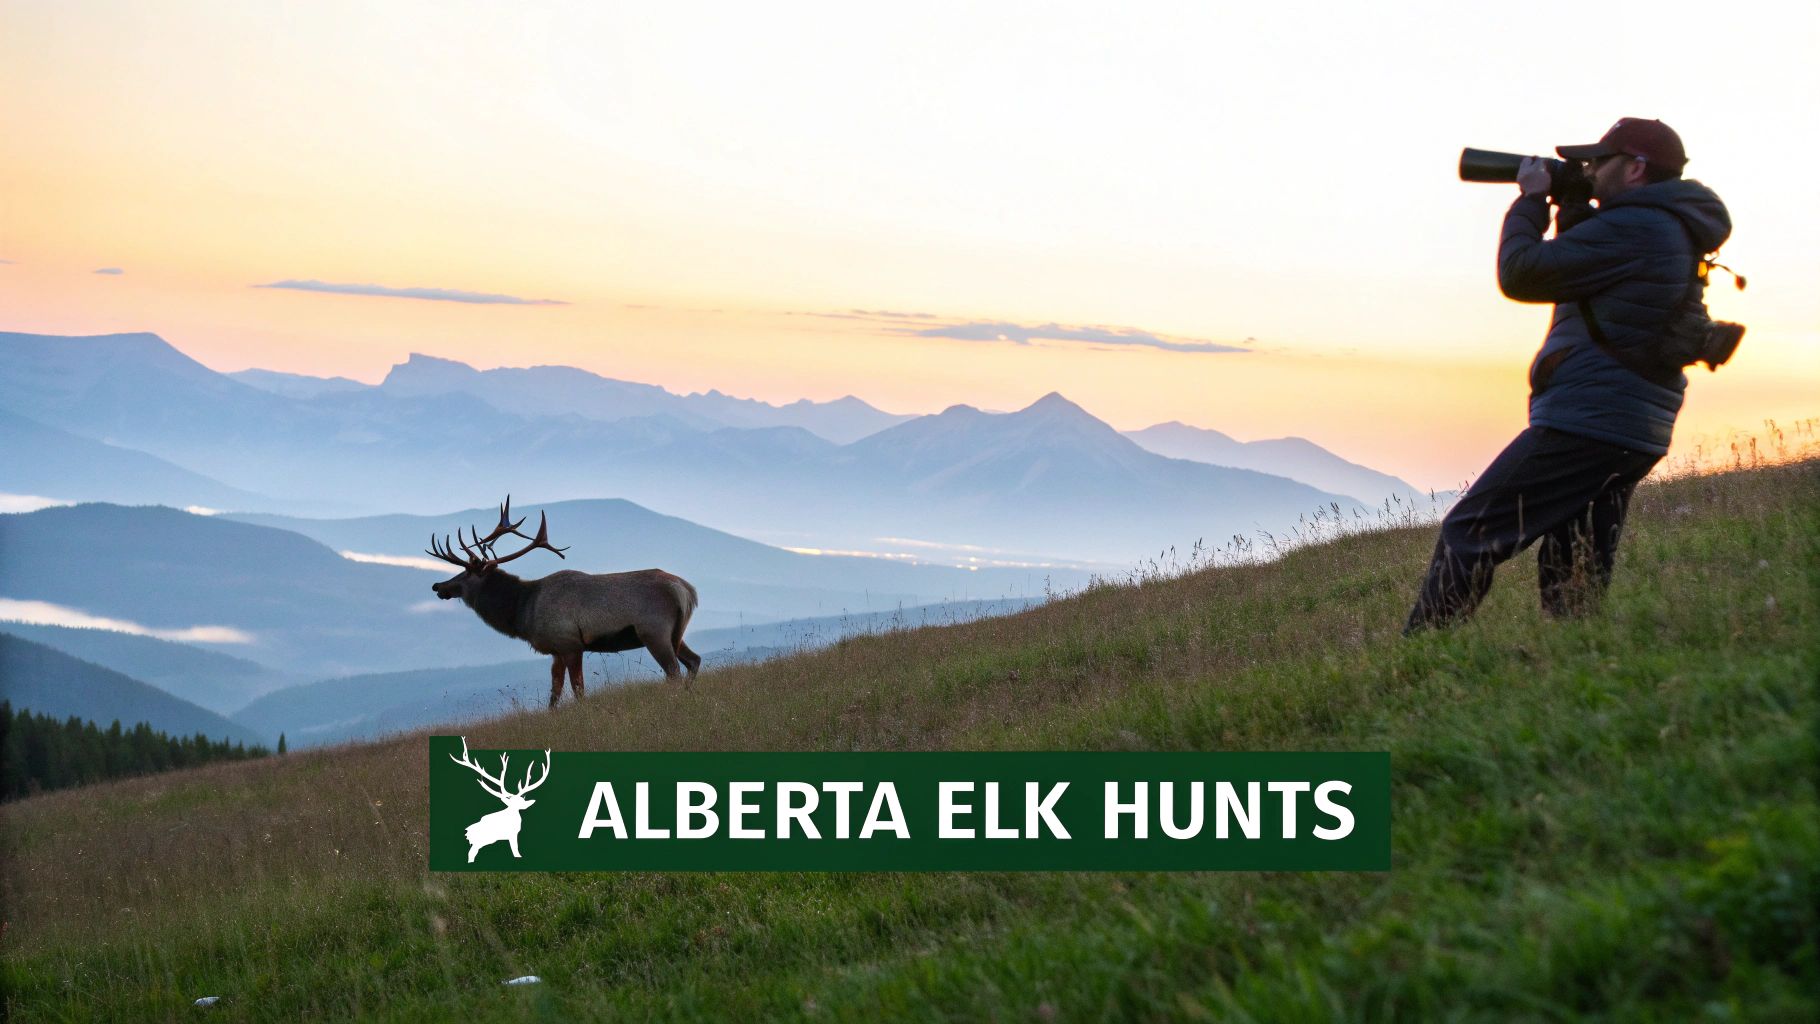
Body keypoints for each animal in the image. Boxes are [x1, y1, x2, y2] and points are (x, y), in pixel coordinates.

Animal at [426, 498, 702, 705]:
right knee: (694, 661)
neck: (522, 611)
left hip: (654, 631)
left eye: (466, 573)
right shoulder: (556, 650)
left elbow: (578, 690)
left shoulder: (570, 643)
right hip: (676, 633)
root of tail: (686, 590)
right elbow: (555, 693)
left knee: (674, 671)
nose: (438, 586)